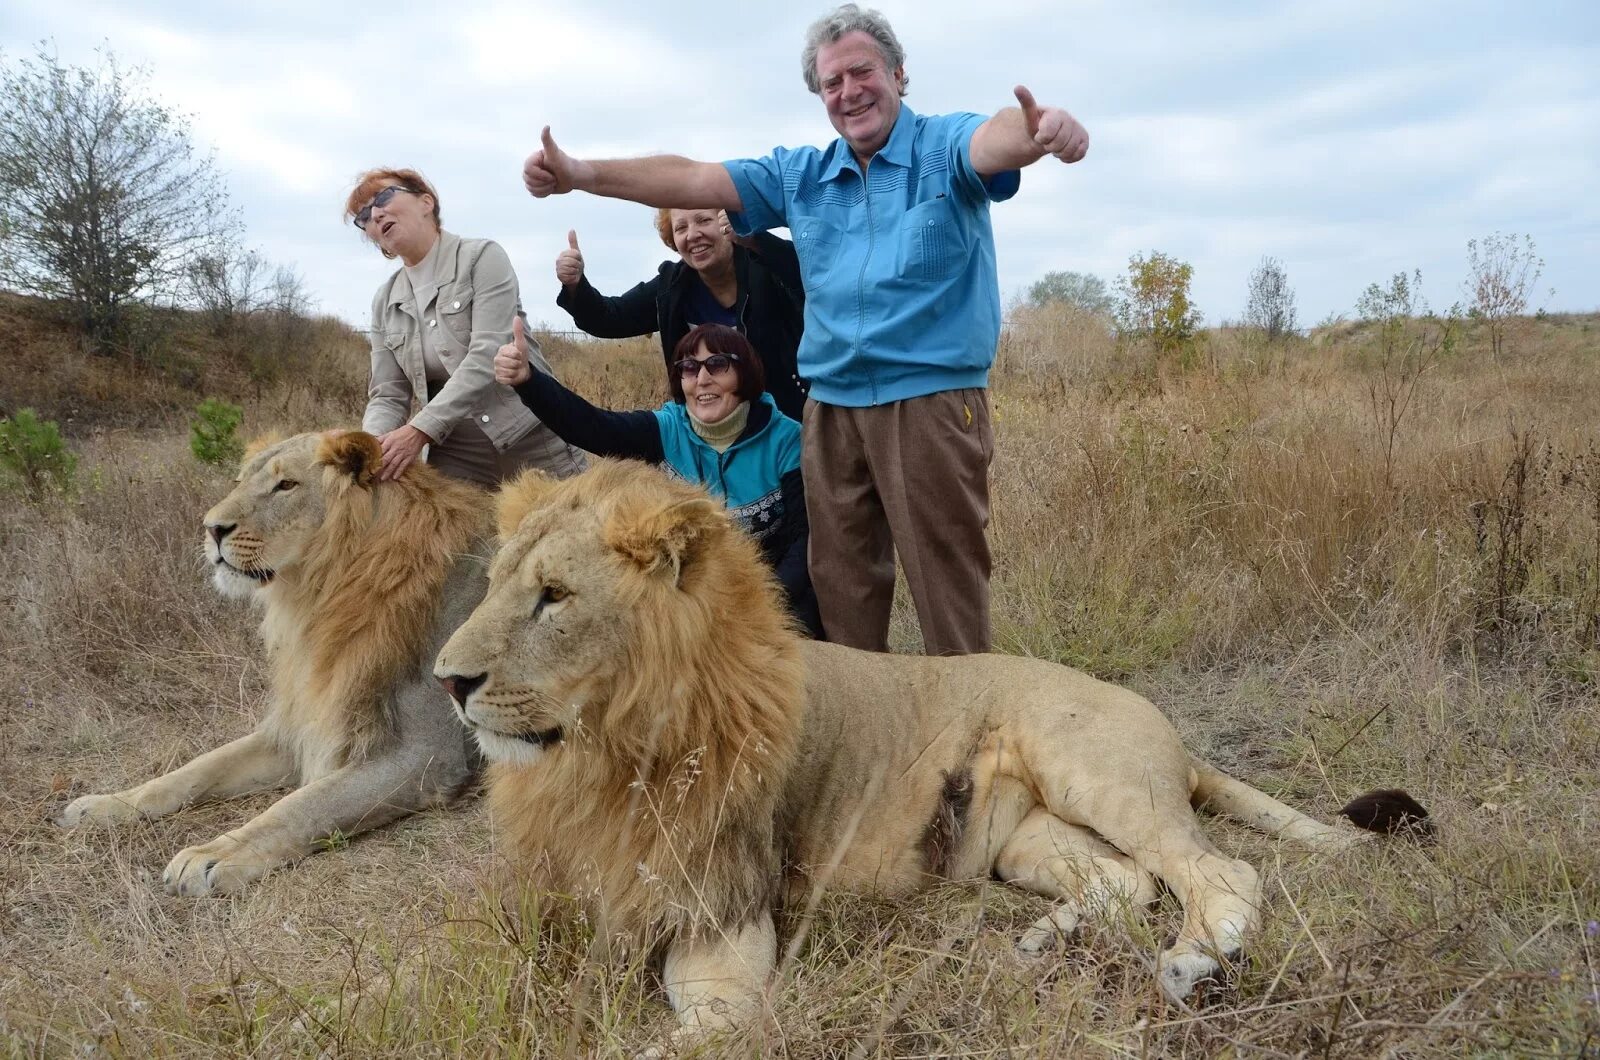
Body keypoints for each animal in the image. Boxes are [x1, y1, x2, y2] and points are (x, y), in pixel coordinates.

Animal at [62, 432, 486, 896]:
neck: (321, 595)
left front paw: (211, 855)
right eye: (240, 481)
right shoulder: (304, 726)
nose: (211, 529)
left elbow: (302, 806)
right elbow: (196, 768)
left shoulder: (428, 756)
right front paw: (105, 804)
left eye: (286, 486)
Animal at [428, 461, 1427, 1043]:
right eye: (496, 584)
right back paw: (1040, 940)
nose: (447, 681)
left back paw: (1187, 967)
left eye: (553, 596)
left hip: (1094, 768)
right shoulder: (557, 900)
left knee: (1220, 874)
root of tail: (1172, 734)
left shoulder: (724, 929)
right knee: (1126, 881)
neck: (596, 758)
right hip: (1027, 836)